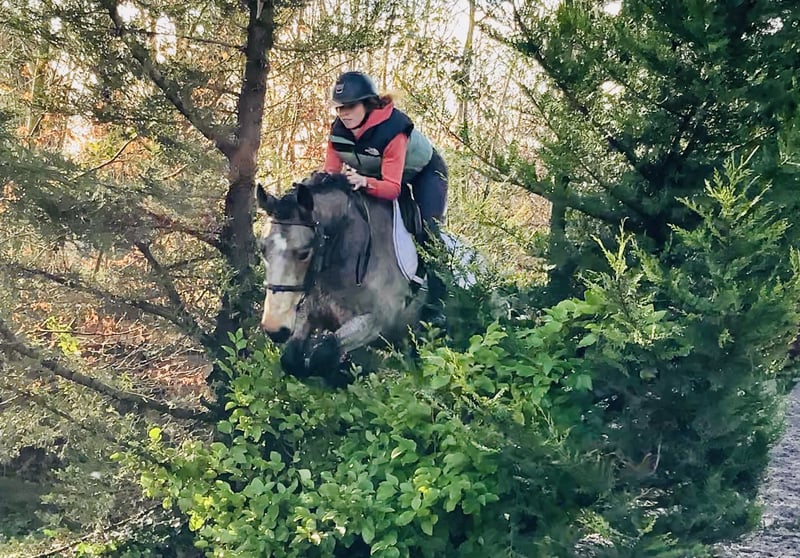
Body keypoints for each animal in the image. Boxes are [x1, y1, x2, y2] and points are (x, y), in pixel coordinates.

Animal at [255, 172, 427, 384]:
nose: (274, 329)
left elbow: (322, 354)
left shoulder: (376, 321)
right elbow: (291, 359)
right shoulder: (306, 312)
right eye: (262, 249)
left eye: (304, 253)